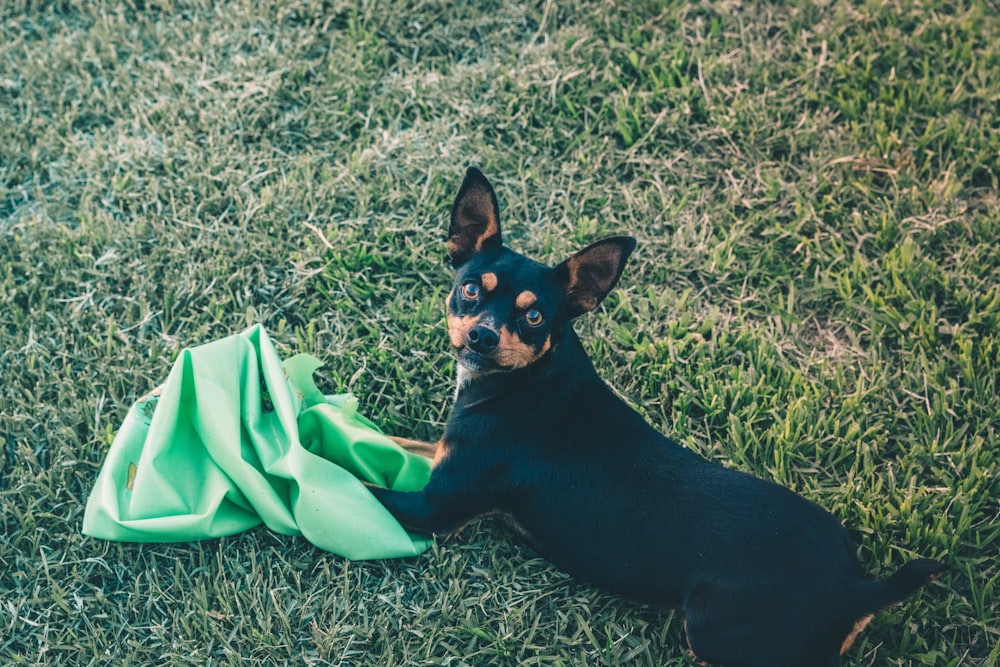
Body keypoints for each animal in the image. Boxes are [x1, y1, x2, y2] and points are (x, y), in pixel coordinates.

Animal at [368, 168, 944, 667]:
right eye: (471, 289)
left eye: (534, 316)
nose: (482, 335)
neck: (528, 382)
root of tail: (856, 589)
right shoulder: (440, 460)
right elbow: (392, 441)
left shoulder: (434, 508)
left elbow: (366, 488)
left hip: (711, 629)